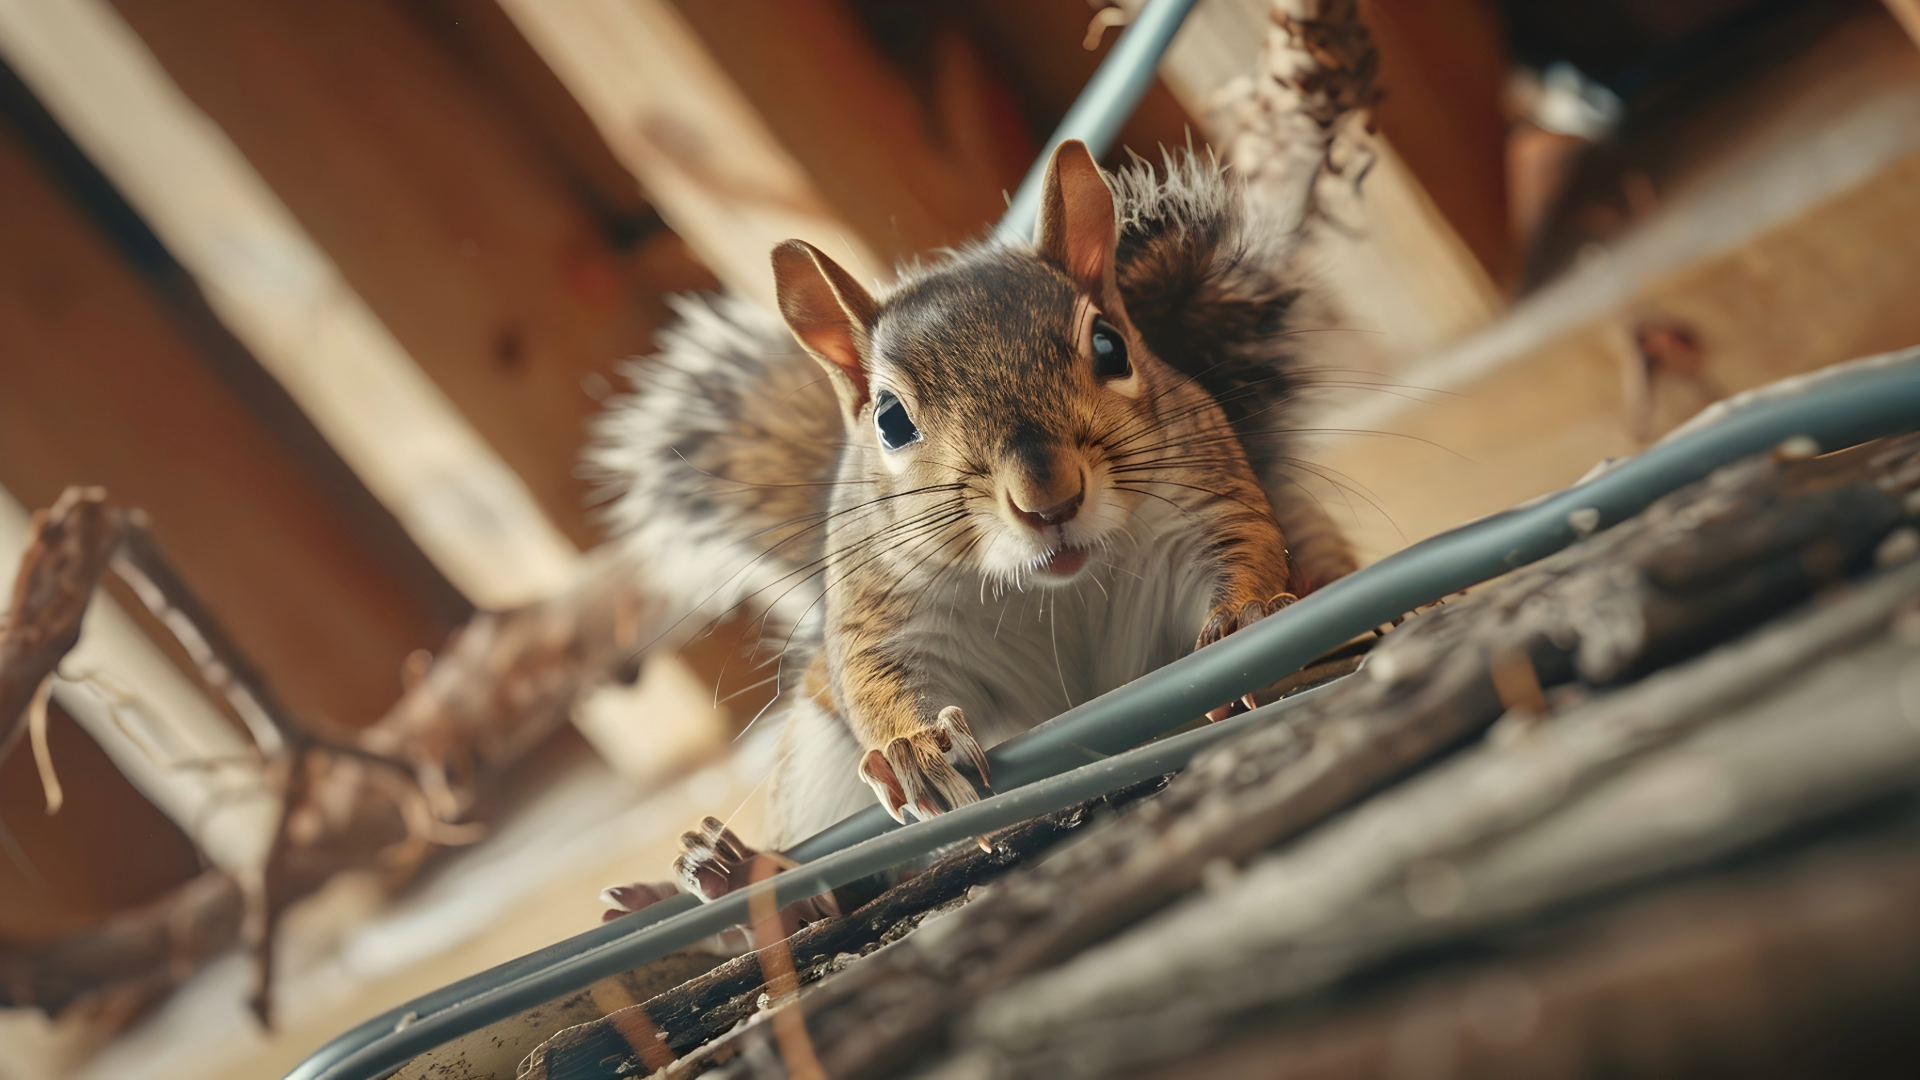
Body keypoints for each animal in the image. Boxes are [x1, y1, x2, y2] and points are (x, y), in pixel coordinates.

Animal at [588, 141, 1355, 921]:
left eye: (1112, 347)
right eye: (890, 420)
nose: (1049, 499)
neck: (1056, 588)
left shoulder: (1208, 503)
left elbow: (1245, 553)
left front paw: (1246, 621)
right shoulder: (884, 608)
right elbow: (880, 679)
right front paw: (915, 751)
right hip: (816, 761)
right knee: (842, 886)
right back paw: (741, 880)